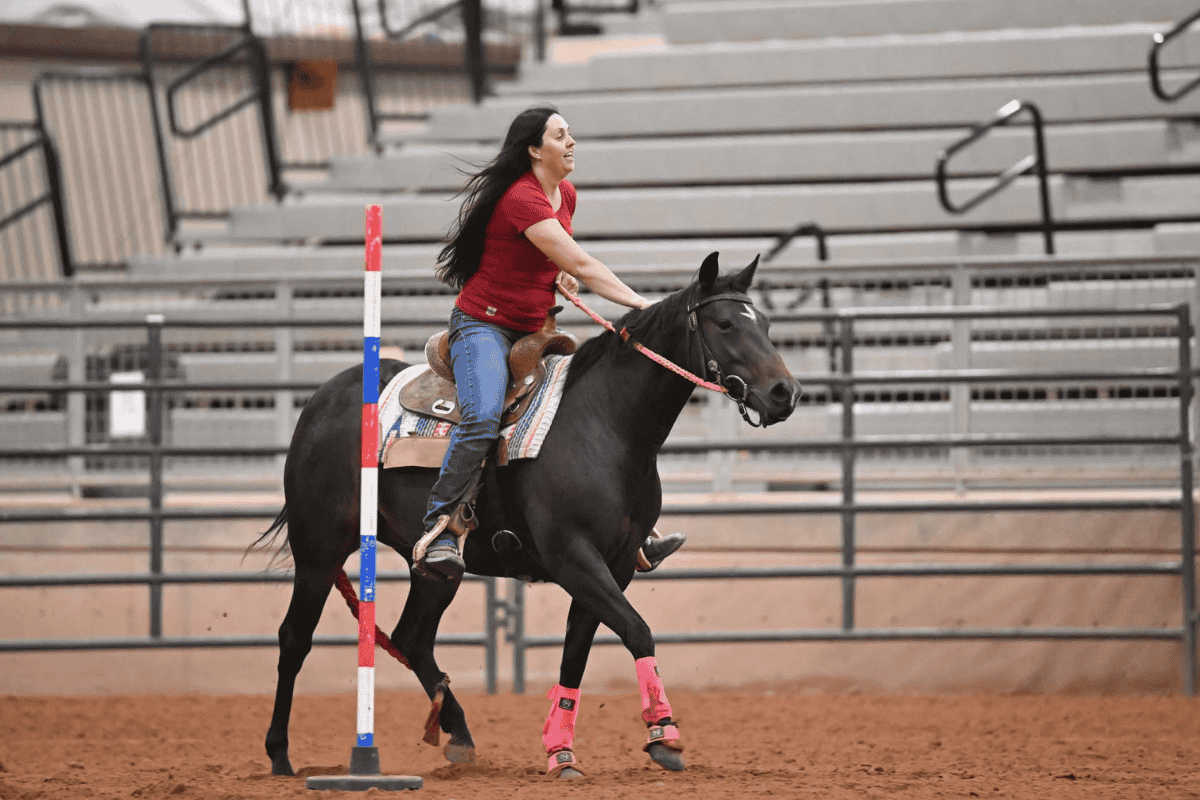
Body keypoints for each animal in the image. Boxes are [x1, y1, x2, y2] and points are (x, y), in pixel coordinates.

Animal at [256, 251, 802, 778]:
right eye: (726, 324)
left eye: (766, 323)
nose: (785, 393)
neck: (608, 425)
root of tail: (323, 399)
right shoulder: (574, 558)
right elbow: (636, 630)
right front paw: (663, 734)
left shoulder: (614, 565)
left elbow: (575, 654)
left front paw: (561, 752)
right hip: (319, 549)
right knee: (295, 638)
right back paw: (280, 756)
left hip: (434, 567)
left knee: (413, 637)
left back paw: (459, 735)